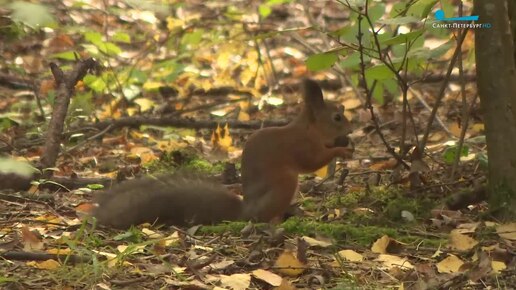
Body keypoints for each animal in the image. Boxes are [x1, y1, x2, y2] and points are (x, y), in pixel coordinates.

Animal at [92, 79, 352, 229]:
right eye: (337, 117)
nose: (351, 129)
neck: (309, 129)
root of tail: (246, 211)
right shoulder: (301, 146)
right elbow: (312, 161)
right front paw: (343, 149)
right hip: (285, 183)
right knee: (267, 217)